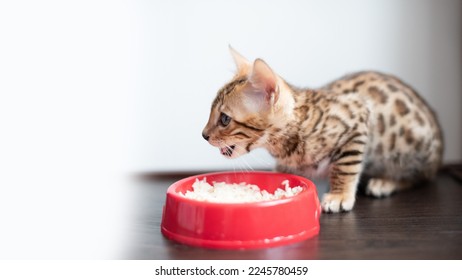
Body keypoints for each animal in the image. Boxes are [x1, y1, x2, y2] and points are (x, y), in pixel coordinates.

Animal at [202, 47, 444, 212]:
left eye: (224, 119)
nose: (203, 135)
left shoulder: (357, 119)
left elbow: (345, 167)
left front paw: (339, 194)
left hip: (411, 147)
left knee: (421, 176)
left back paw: (386, 181)